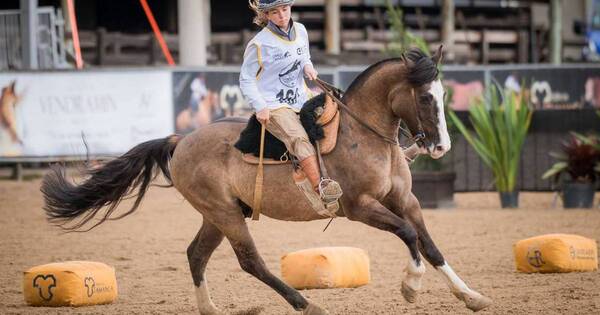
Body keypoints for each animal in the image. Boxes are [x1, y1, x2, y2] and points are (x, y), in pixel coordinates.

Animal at [41, 47, 492, 315]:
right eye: (425, 97)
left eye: (443, 95)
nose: (441, 146)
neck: (362, 134)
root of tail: (180, 140)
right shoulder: (360, 207)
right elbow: (409, 236)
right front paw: (411, 286)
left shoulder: (406, 200)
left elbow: (430, 246)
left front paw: (470, 296)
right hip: (226, 215)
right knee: (250, 261)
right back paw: (306, 304)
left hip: (218, 215)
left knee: (195, 255)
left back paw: (210, 310)